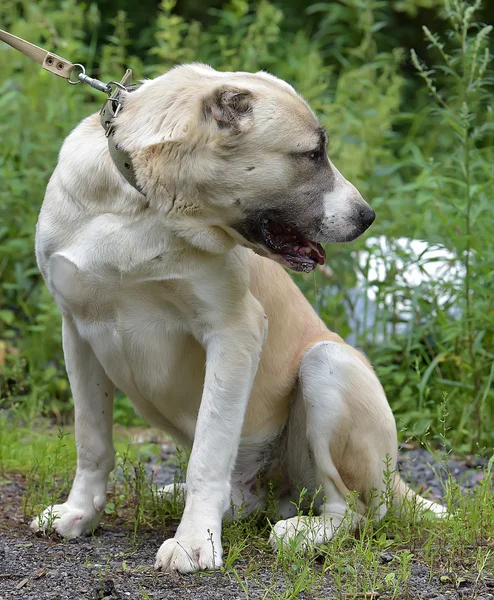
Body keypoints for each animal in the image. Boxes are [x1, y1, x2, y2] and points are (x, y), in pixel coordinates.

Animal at [32, 63, 446, 576]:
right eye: (312, 154)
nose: (367, 216)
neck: (144, 205)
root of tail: (397, 481)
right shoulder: (77, 330)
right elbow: (91, 440)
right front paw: (79, 513)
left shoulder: (233, 331)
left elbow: (208, 453)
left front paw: (194, 543)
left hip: (328, 364)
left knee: (357, 510)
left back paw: (302, 533)